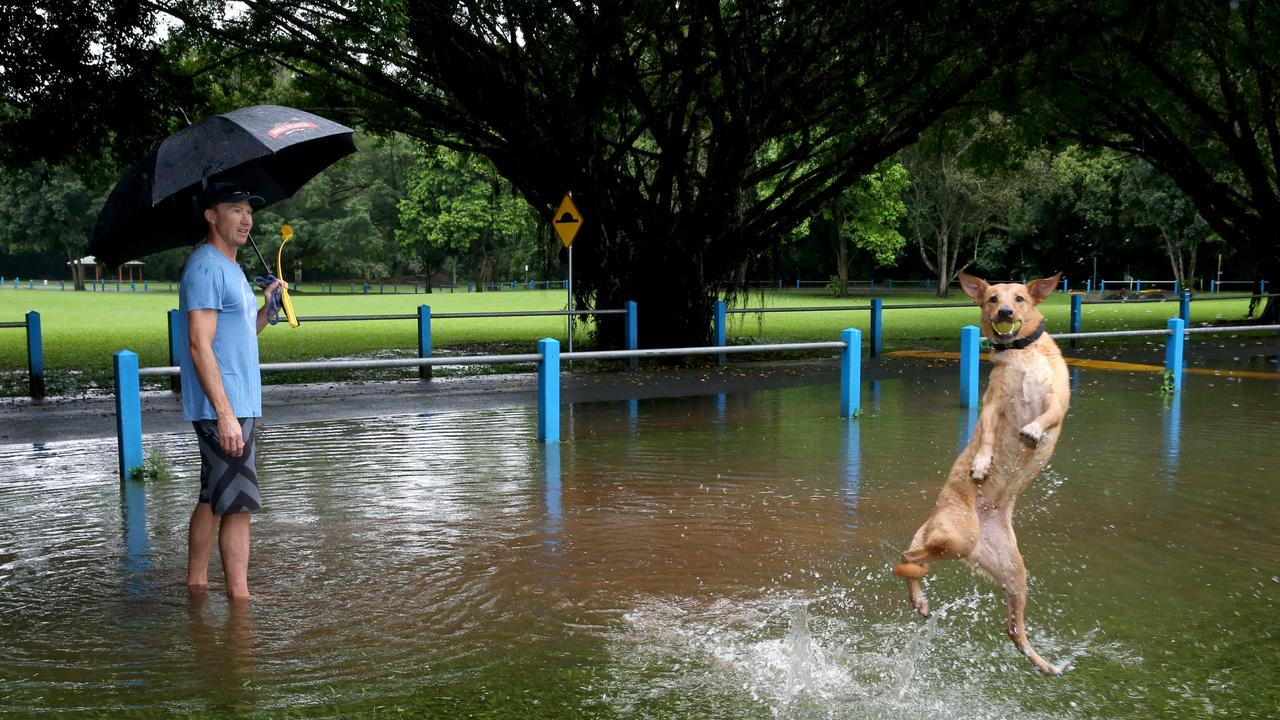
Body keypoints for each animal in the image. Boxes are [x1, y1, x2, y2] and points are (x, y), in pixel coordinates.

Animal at [890, 270, 1070, 671]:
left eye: (1019, 298)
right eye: (991, 298)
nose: (1004, 312)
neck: (1020, 353)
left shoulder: (1059, 398)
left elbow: (1048, 415)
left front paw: (1032, 432)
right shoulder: (992, 403)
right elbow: (985, 436)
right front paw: (981, 464)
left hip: (1013, 572)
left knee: (1014, 629)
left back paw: (1042, 663)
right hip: (958, 537)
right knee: (907, 561)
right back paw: (919, 597)